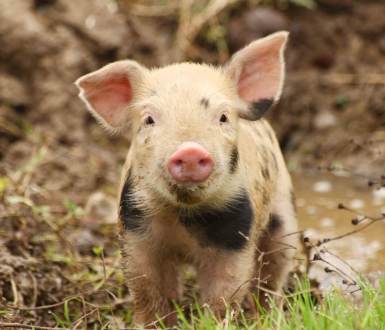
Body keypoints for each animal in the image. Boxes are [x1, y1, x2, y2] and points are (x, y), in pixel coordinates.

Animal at [75, 31, 296, 328]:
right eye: (149, 119)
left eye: (223, 117)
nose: (190, 150)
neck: (184, 217)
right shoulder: (136, 232)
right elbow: (147, 290)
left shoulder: (236, 237)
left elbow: (224, 294)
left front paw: (212, 322)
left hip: (284, 212)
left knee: (274, 274)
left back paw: (268, 317)